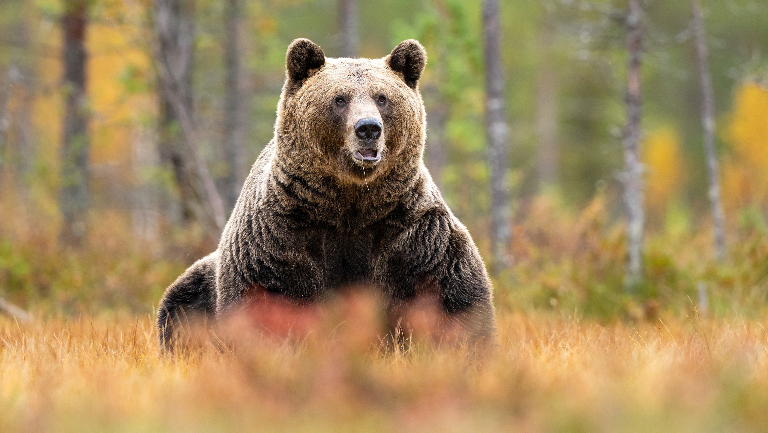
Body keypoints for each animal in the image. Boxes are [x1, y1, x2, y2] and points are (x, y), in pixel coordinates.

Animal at [157, 38, 497, 353]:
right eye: (339, 98)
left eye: (382, 97)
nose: (368, 128)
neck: (349, 203)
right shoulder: (281, 235)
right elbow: (267, 300)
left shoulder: (410, 232)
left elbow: (450, 294)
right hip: (201, 283)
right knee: (181, 306)